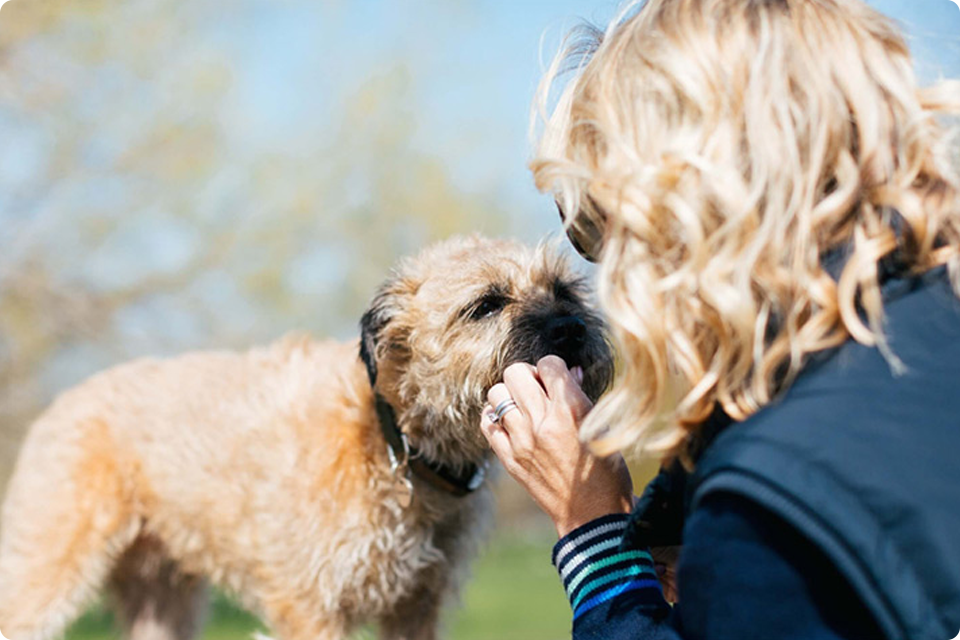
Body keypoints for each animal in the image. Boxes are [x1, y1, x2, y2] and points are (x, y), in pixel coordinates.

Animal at [0, 235, 612, 640]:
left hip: (163, 600)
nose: (570, 329)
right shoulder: (312, 607)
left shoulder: (416, 607)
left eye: (564, 291)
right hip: (46, 568)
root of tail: (64, 400)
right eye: (486, 305)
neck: (394, 444)